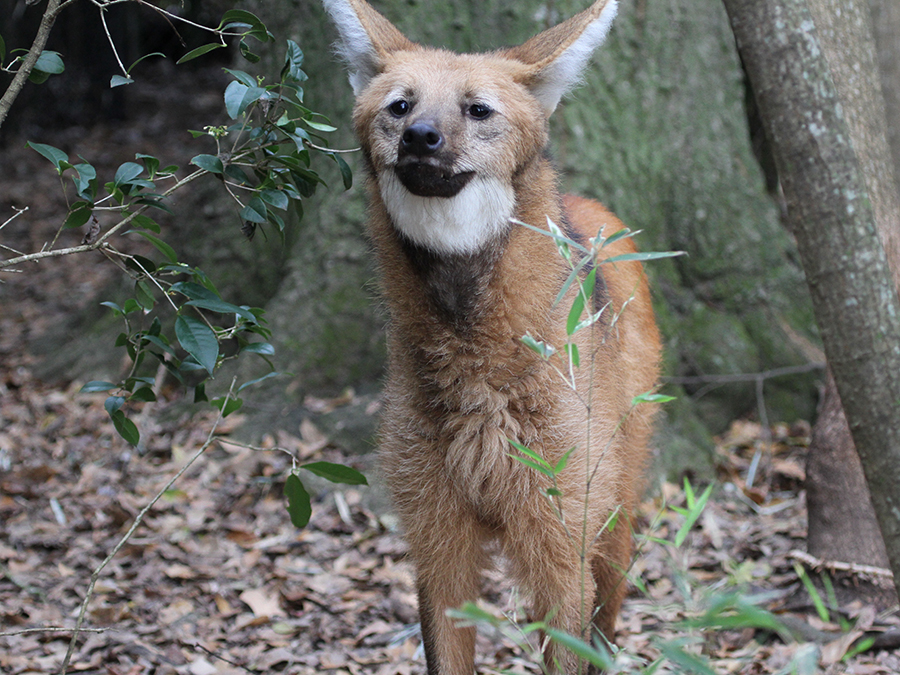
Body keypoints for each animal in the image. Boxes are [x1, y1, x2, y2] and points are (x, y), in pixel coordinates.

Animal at [324, 1, 660, 672]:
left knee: (610, 602)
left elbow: (569, 637)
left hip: (615, 492)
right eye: (400, 105)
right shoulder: (436, 538)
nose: (420, 136)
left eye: (477, 109)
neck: (470, 354)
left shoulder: (560, 538)